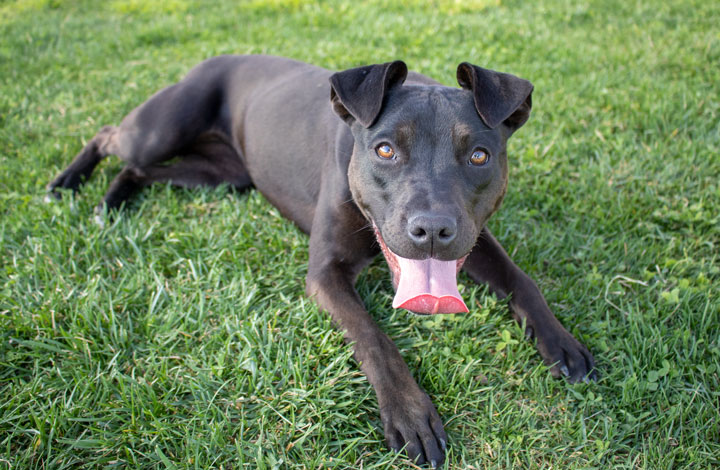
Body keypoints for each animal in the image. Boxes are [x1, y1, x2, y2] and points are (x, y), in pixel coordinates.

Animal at [46, 56, 596, 466]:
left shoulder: (475, 241)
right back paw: (68, 183)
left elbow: (523, 280)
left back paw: (111, 202)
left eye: (479, 156)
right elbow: (374, 338)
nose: (433, 230)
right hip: (159, 132)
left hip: (221, 175)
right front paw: (410, 412)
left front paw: (561, 341)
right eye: (385, 150)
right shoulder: (325, 275)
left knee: (139, 171)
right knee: (108, 136)